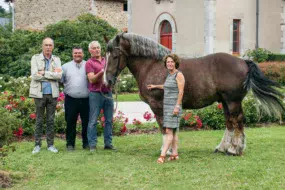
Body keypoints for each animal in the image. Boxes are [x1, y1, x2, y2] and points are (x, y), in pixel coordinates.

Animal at [103, 32, 282, 155]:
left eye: (116, 56)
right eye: (106, 55)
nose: (107, 80)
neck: (152, 65)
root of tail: (243, 61)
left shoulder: (158, 106)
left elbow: (163, 127)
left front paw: (166, 150)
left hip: (233, 101)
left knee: (237, 121)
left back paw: (234, 149)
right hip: (224, 101)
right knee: (229, 122)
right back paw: (222, 147)